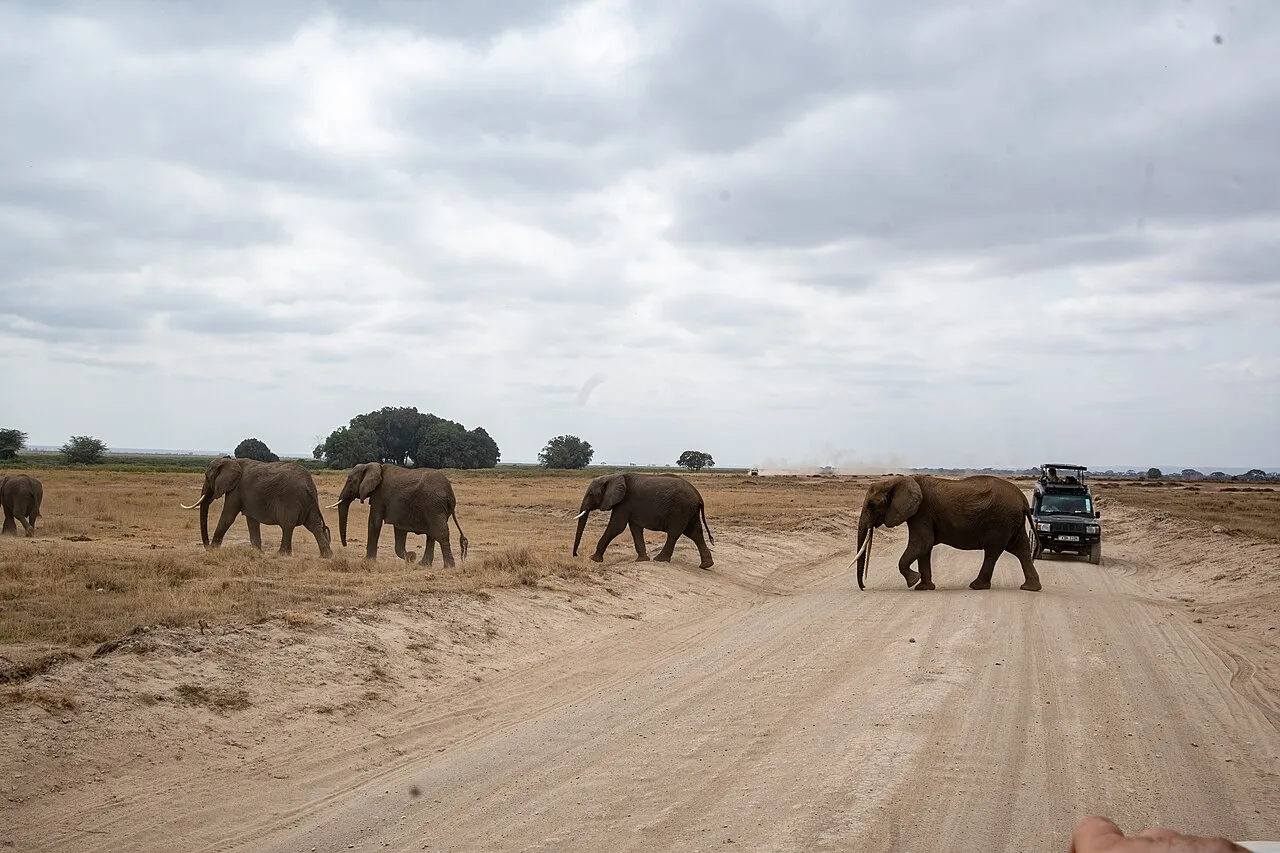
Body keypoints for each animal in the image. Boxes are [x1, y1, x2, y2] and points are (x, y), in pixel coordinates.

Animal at [181, 457, 332, 557]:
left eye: (207, 477)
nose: (206, 547)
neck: (230, 461)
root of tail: (308, 483)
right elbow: (252, 521)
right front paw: (257, 552)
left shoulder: (236, 490)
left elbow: (227, 517)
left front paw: (213, 550)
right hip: (309, 501)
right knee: (314, 525)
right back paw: (326, 556)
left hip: (290, 498)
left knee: (287, 525)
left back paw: (281, 554)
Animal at [330, 462, 468, 567]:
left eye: (350, 481)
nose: (345, 545)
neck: (373, 466)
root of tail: (449, 492)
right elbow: (400, 529)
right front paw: (411, 557)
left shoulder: (379, 495)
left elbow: (374, 522)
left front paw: (367, 562)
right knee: (432, 534)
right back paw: (422, 565)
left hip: (433, 505)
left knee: (440, 533)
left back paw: (448, 567)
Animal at [572, 473, 715, 569]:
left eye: (591, 494)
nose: (576, 555)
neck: (613, 476)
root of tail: (698, 495)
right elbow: (635, 529)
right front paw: (642, 560)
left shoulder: (625, 502)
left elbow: (616, 527)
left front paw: (593, 559)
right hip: (690, 511)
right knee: (695, 533)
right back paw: (706, 565)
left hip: (681, 509)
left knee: (675, 533)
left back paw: (660, 559)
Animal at [852, 474, 1041, 592]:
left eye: (871, 505)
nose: (864, 587)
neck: (896, 481)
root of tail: (1023, 499)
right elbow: (924, 547)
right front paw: (924, 587)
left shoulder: (922, 512)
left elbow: (922, 543)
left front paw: (913, 581)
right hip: (1011, 522)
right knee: (1021, 549)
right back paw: (1030, 588)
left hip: (1000, 521)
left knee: (993, 551)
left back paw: (976, 586)